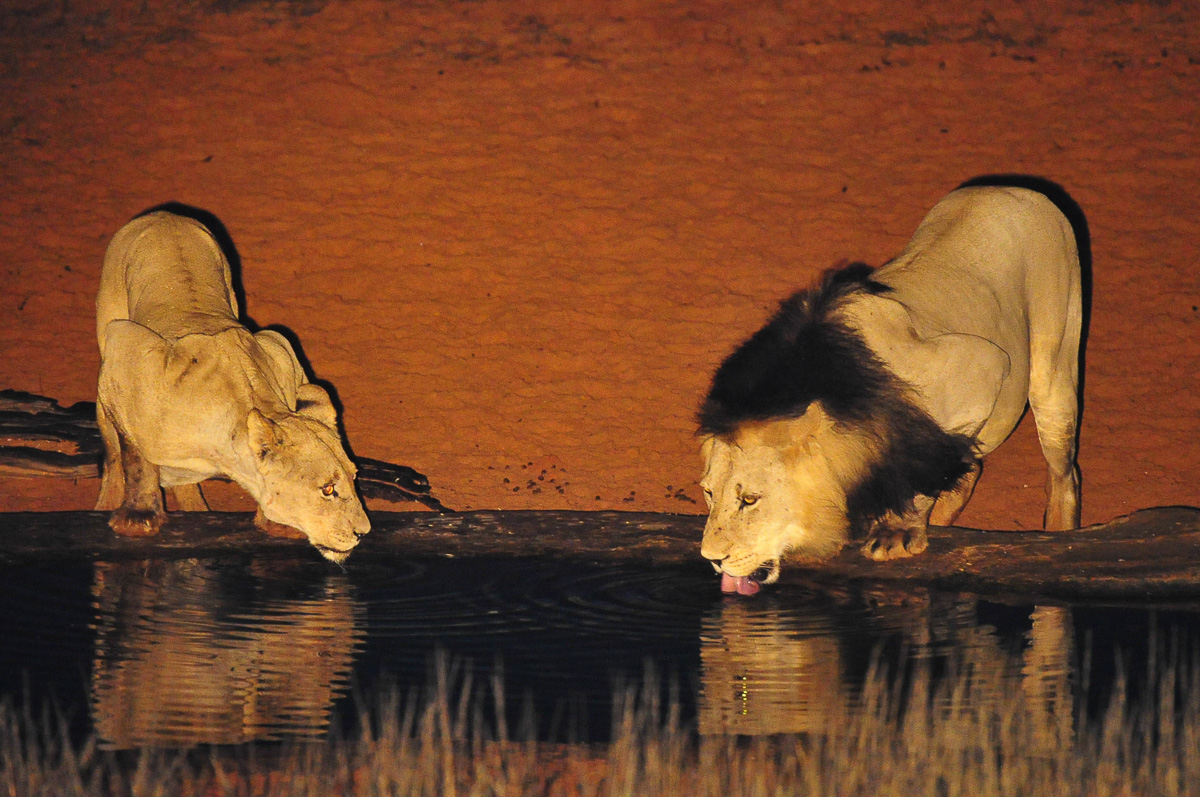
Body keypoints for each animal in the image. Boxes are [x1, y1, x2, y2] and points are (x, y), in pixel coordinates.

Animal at [95, 209, 370, 564]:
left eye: (353, 476)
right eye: (328, 489)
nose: (363, 533)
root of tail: (165, 213)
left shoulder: (278, 346)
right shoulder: (125, 352)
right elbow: (132, 454)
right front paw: (138, 517)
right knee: (112, 447)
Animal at [698, 185, 1083, 595]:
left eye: (750, 500)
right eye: (708, 493)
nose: (712, 559)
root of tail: (1011, 188)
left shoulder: (983, 366)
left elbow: (922, 468)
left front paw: (898, 532)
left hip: (1053, 364)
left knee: (1064, 471)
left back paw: (1061, 535)